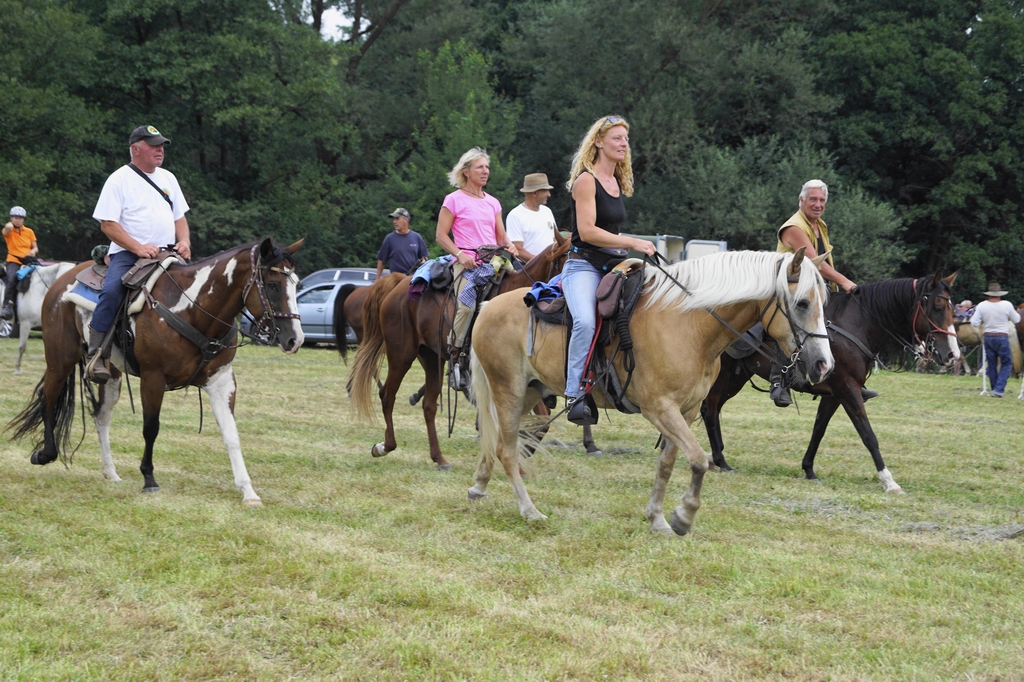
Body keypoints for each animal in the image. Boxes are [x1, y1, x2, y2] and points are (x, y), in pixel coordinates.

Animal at [7, 236, 303, 501]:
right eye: (273, 285)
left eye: (296, 283)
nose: (295, 339)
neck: (193, 310)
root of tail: (60, 281)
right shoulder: (153, 378)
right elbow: (151, 428)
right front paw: (149, 479)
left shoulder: (222, 381)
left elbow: (231, 435)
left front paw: (248, 491)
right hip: (60, 359)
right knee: (48, 397)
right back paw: (45, 454)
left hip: (111, 374)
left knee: (101, 417)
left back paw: (110, 472)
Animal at [350, 233, 577, 466]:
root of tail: (398, 284)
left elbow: (541, 417)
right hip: (401, 354)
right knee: (387, 395)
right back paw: (385, 446)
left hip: (431, 358)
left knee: (429, 405)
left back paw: (439, 458)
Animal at [468, 246, 835, 532]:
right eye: (802, 303)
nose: (824, 364)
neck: (688, 324)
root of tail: (488, 308)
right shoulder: (659, 407)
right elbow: (698, 459)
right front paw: (683, 517)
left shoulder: (685, 411)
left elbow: (668, 463)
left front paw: (657, 518)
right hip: (508, 390)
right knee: (506, 450)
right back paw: (529, 510)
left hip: (529, 391)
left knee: (496, 442)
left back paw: (479, 486)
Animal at [704, 270, 958, 489]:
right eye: (937, 307)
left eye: (952, 309)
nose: (952, 354)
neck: (856, 324)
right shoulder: (848, 389)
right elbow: (867, 434)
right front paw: (888, 480)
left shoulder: (834, 395)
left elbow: (819, 429)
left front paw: (809, 469)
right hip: (722, 375)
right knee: (709, 408)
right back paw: (720, 459)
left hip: (736, 378)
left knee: (714, 409)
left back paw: (716, 457)